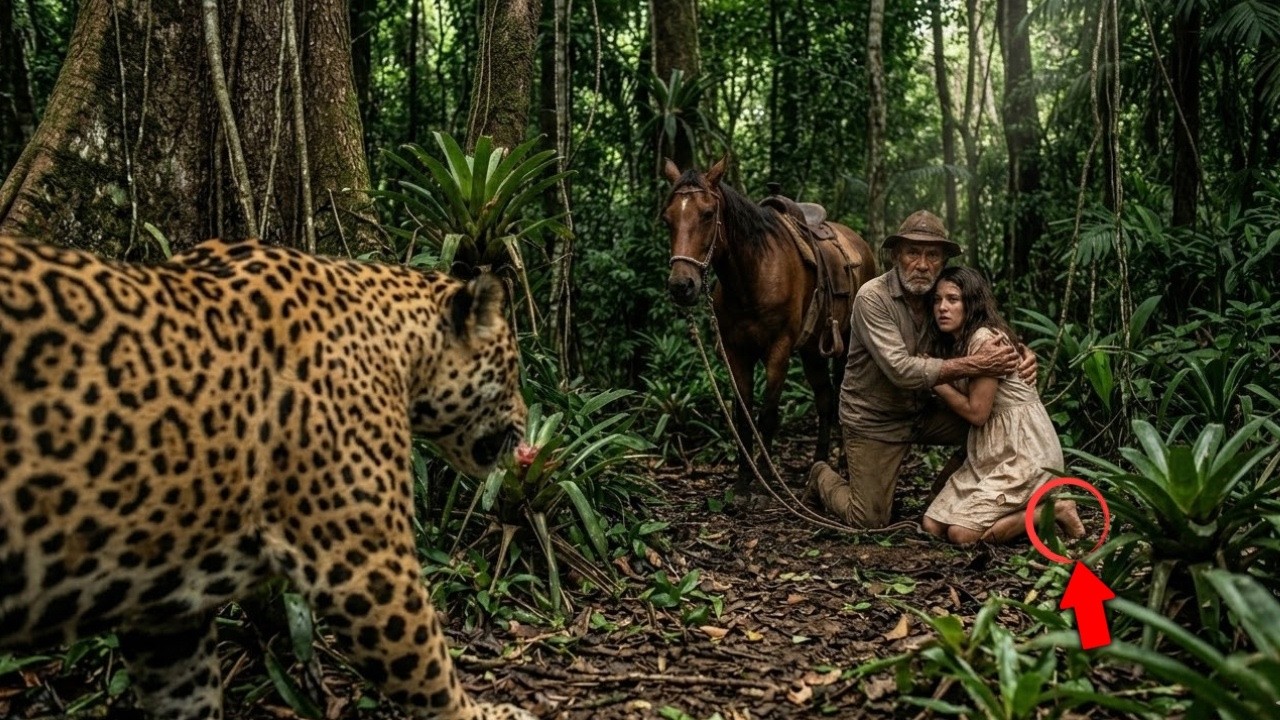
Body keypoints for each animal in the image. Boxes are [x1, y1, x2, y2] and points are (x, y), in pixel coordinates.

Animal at [0, 236, 536, 719]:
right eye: (513, 368)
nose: (528, 425)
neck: (399, 348)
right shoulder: (364, 566)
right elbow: (430, 670)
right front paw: (485, 713)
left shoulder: (165, 616)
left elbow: (187, 694)